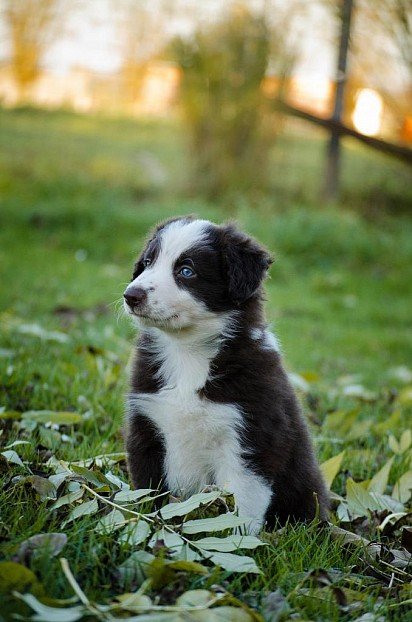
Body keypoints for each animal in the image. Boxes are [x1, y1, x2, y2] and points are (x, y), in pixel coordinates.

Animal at [122, 217, 328, 532]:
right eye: (147, 262)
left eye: (186, 271)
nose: (131, 295)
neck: (187, 352)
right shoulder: (147, 428)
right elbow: (148, 492)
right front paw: (143, 527)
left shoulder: (251, 437)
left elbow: (242, 505)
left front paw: (235, 541)